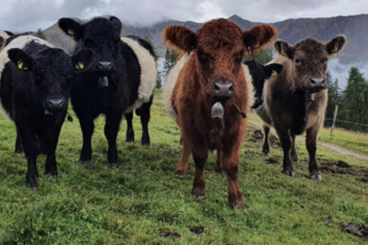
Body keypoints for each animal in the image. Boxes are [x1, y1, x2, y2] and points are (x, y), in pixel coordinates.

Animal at [0, 35, 94, 189]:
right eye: (38, 75)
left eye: (69, 75)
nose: (55, 103)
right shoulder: (22, 116)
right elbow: (30, 146)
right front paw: (32, 179)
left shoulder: (59, 117)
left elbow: (52, 143)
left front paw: (51, 172)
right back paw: (19, 150)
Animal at [57, 16, 157, 164]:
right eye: (88, 41)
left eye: (115, 41)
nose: (105, 65)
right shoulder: (81, 104)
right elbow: (87, 129)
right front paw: (85, 157)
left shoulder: (117, 104)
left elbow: (110, 130)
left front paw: (112, 159)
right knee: (129, 116)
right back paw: (129, 138)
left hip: (148, 96)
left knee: (144, 118)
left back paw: (145, 141)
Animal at [162, 18, 278, 209]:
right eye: (201, 53)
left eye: (240, 53)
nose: (223, 87)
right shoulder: (192, 124)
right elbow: (199, 156)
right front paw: (198, 189)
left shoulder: (237, 127)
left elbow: (232, 163)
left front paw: (237, 199)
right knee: (187, 145)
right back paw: (181, 169)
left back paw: (220, 167)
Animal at [254, 35, 346, 180]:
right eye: (297, 60)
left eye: (325, 59)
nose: (317, 81)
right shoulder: (277, 117)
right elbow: (285, 142)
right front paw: (288, 168)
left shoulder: (318, 119)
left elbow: (311, 145)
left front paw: (314, 172)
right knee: (266, 129)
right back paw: (265, 150)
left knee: (293, 136)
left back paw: (294, 157)